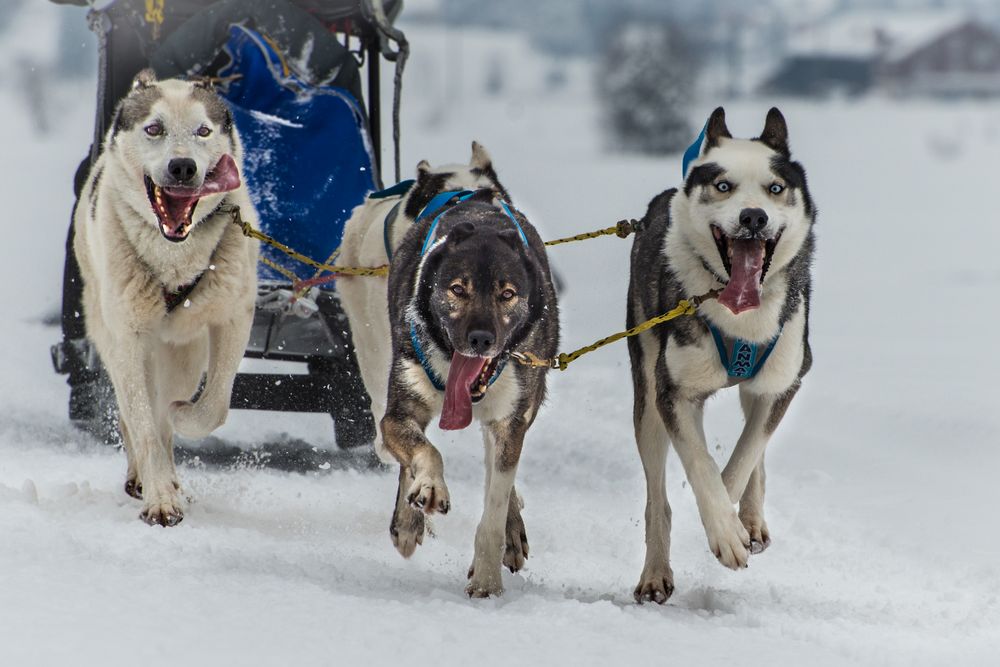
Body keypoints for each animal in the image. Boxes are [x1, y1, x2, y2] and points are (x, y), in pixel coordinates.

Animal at [73, 69, 258, 528]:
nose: (183, 166)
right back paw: (147, 478)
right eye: (154, 128)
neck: (174, 257)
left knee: (165, 410)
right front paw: (160, 498)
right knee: (133, 414)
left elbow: (212, 407)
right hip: (114, 338)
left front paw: (181, 415)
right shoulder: (127, 337)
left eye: (203, 130)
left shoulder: (233, 317)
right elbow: (142, 423)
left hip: (183, 354)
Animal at [340, 149, 560, 596]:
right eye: (457, 288)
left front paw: (488, 578)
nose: (480, 339)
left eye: (507, 293)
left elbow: (495, 503)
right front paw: (425, 492)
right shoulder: (400, 410)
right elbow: (423, 451)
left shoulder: (511, 420)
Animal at [628, 107, 816, 604]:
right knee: (657, 499)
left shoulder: (785, 380)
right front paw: (724, 533)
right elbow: (701, 465)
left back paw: (750, 519)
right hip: (647, 397)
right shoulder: (674, 394)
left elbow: (746, 455)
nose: (754, 216)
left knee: (757, 446)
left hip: (762, 383)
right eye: (723, 185)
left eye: (775, 188)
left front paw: (734, 522)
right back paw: (656, 572)